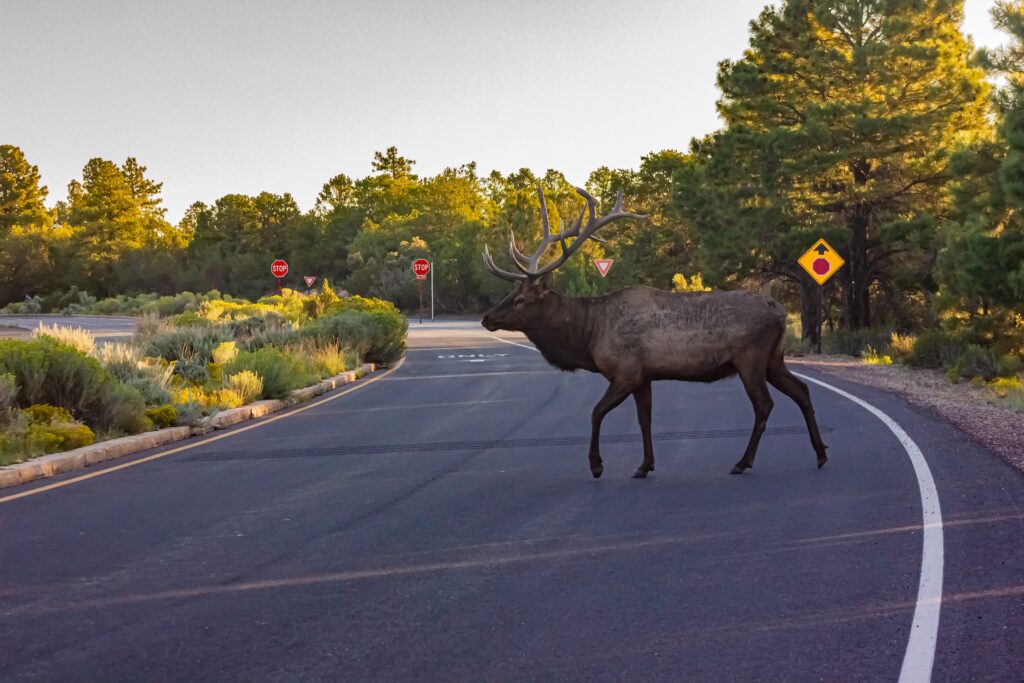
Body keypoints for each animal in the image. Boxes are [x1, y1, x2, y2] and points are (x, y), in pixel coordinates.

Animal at [480, 185, 829, 479]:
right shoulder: (644, 376)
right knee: (801, 391)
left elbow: (596, 412)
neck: (589, 334)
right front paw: (644, 465)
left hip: (751, 358)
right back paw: (821, 453)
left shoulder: (626, 371)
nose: (487, 318)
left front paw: (597, 466)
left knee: (764, 405)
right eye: (510, 293)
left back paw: (743, 462)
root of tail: (779, 312)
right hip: (774, 359)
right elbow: (644, 420)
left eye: (521, 299)